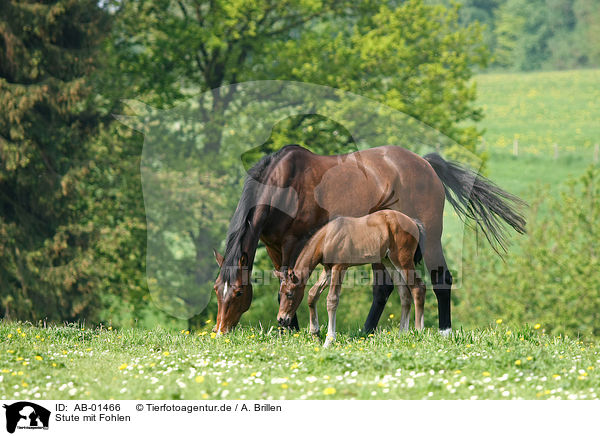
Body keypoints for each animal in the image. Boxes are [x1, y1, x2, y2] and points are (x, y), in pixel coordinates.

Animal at [276, 211, 426, 348]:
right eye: (280, 294)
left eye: (289, 294)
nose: (281, 319)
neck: (327, 238)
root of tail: (413, 222)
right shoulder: (328, 269)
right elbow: (312, 294)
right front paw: (315, 334)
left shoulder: (339, 267)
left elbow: (332, 300)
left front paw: (328, 341)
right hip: (389, 261)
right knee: (404, 294)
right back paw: (402, 334)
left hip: (402, 259)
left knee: (418, 288)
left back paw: (419, 331)